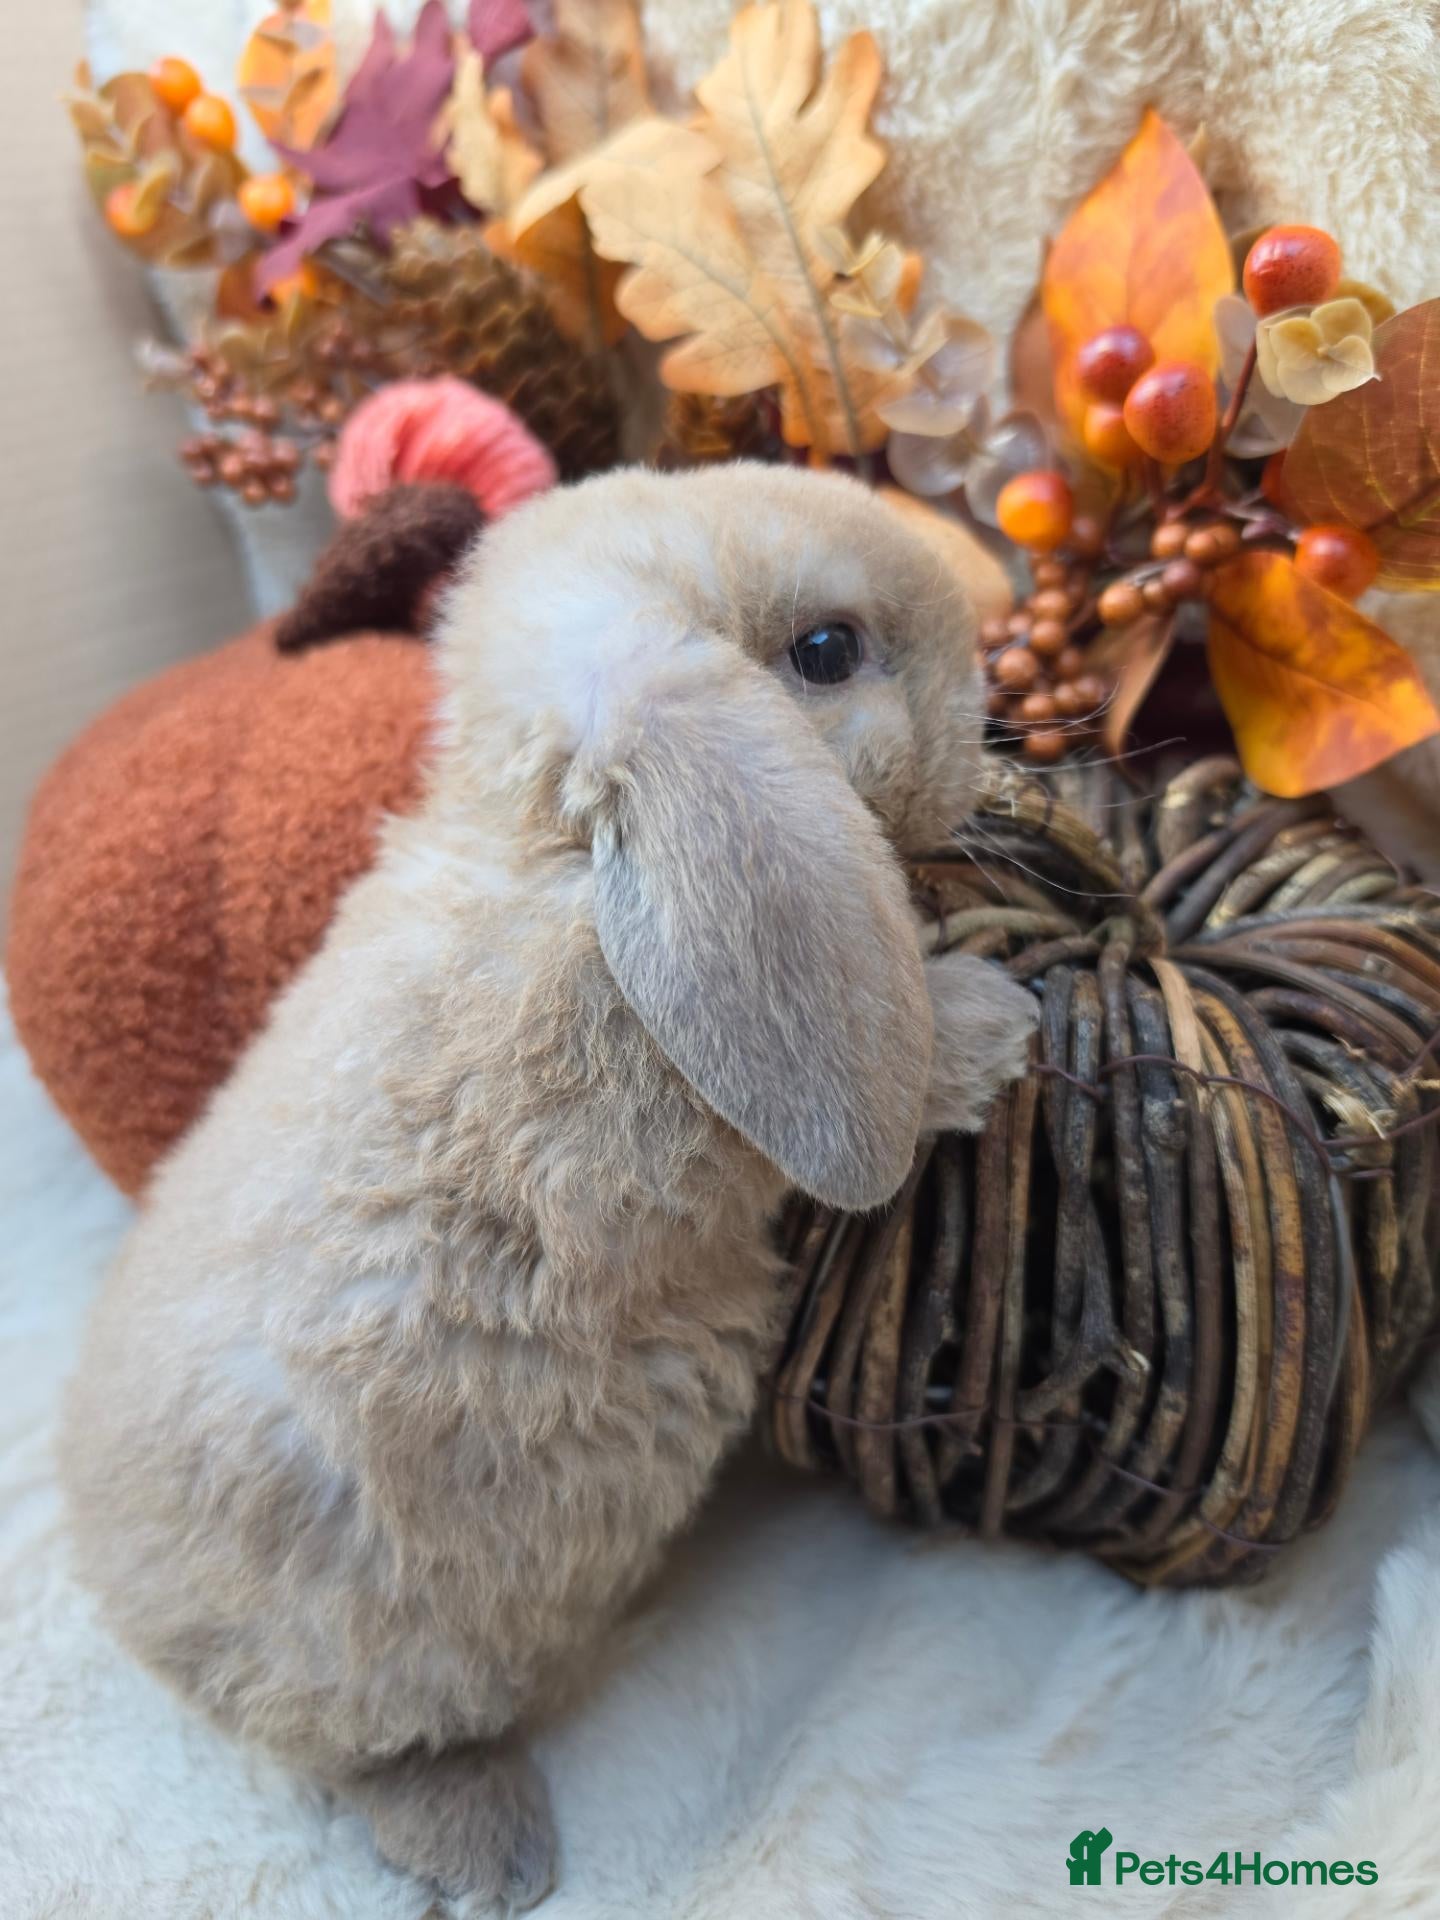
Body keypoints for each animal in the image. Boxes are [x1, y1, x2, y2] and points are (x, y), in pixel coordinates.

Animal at [59, 463, 1039, 1912]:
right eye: (826, 652)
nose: (984, 742)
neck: (557, 857)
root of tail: (138, 1625)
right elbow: (875, 1104)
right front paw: (994, 1022)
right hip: (381, 1669)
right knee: (375, 1761)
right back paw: (494, 1850)